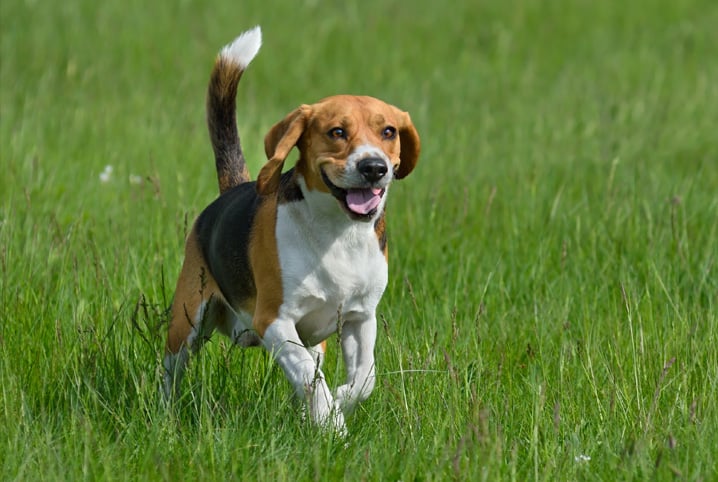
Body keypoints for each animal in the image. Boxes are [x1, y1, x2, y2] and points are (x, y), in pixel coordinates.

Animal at [163, 26, 422, 434]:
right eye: (337, 132)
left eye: (388, 131)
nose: (374, 167)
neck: (339, 232)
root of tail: (232, 189)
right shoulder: (274, 321)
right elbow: (309, 379)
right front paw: (332, 423)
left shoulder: (361, 317)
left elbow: (363, 378)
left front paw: (339, 400)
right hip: (187, 321)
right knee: (171, 375)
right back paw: (165, 416)